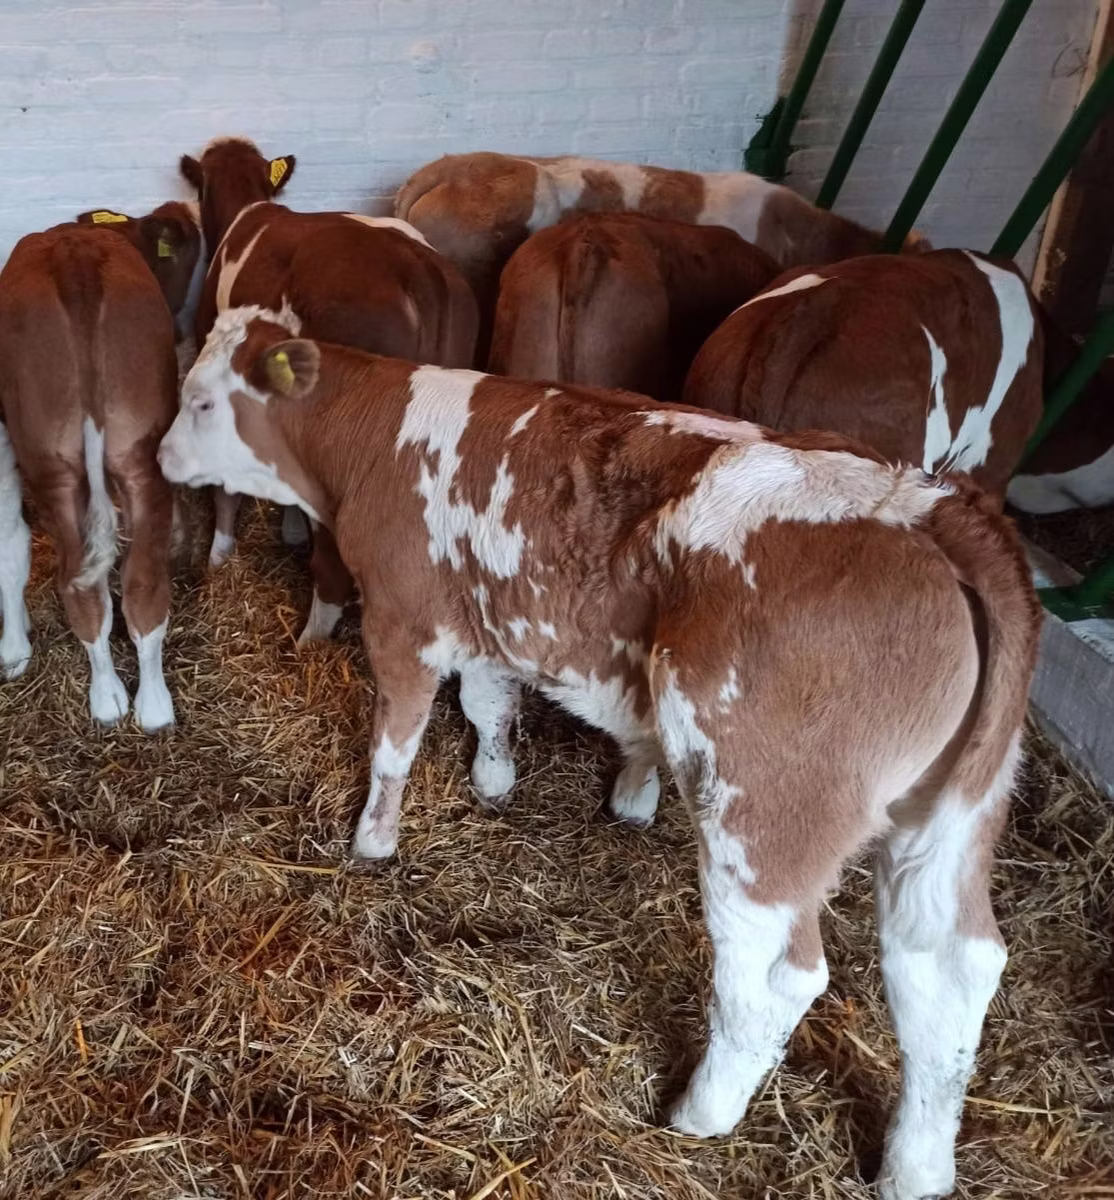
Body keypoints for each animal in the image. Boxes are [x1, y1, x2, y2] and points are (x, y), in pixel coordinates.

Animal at [0, 203, 201, 728]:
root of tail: (73, 256)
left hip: (61, 470)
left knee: (99, 588)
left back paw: (117, 700)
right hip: (135, 460)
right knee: (135, 587)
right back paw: (141, 707)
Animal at [157, 305, 1040, 1200]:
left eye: (200, 401)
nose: (160, 458)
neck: (376, 435)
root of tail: (924, 504)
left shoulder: (404, 621)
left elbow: (394, 746)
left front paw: (373, 839)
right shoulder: (486, 621)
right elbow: (488, 703)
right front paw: (495, 778)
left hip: (763, 811)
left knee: (775, 972)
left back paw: (700, 1113)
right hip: (951, 818)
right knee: (948, 970)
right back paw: (916, 1166)